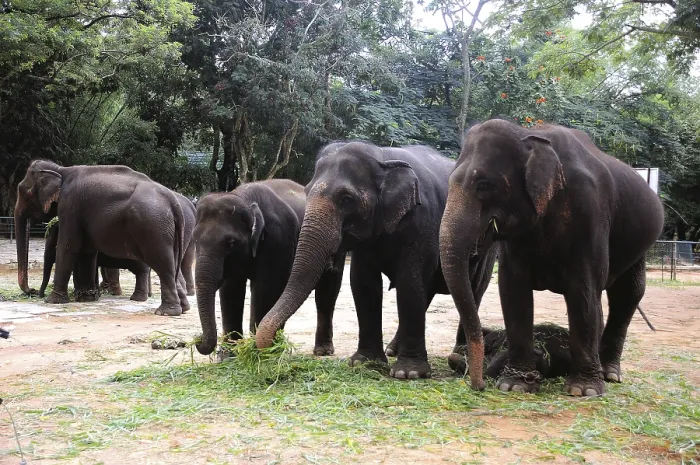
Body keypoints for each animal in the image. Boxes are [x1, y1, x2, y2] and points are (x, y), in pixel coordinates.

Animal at [15, 160, 192, 316]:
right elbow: (87, 251)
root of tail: (173, 201)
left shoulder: (70, 207)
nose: (34, 291)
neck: (61, 170)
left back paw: (166, 312)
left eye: (24, 192)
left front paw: (53, 301)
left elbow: (68, 247)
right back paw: (183, 308)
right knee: (173, 264)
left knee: (163, 265)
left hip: (153, 227)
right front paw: (87, 298)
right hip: (168, 231)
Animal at [193, 179, 344, 358]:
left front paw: (256, 353)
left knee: (327, 292)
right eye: (194, 240)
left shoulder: (278, 239)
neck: (245, 198)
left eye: (230, 243)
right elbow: (231, 290)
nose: (197, 339)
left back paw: (322, 351)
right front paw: (228, 356)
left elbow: (265, 289)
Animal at [255, 140, 497, 380]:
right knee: (428, 292)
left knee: (474, 289)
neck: (383, 156)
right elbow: (364, 283)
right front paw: (365, 364)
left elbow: (409, 280)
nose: (273, 347)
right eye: (306, 191)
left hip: (488, 244)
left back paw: (460, 356)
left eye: (347, 199)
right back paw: (393, 350)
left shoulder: (423, 221)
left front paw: (408, 373)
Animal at [438, 119, 664, 396]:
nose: (478, 386)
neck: (528, 135)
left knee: (627, 294)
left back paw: (610, 374)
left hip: (639, 246)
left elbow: (583, 290)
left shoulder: (589, 211)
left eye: (483, 185)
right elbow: (513, 289)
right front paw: (515, 385)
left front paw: (583, 391)